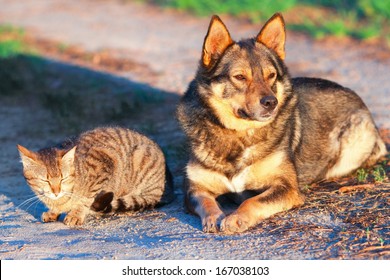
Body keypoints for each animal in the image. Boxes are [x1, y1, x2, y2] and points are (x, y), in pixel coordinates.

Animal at [17, 126, 174, 226]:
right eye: (45, 180)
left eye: (63, 178)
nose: (56, 192)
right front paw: (53, 212)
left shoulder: (106, 165)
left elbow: (86, 199)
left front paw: (76, 214)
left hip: (139, 157)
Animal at [177, 13, 386, 233]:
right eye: (240, 77)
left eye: (271, 75)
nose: (271, 102)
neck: (239, 133)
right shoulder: (194, 188)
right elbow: (207, 202)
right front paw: (214, 218)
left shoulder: (287, 187)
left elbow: (253, 201)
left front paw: (236, 218)